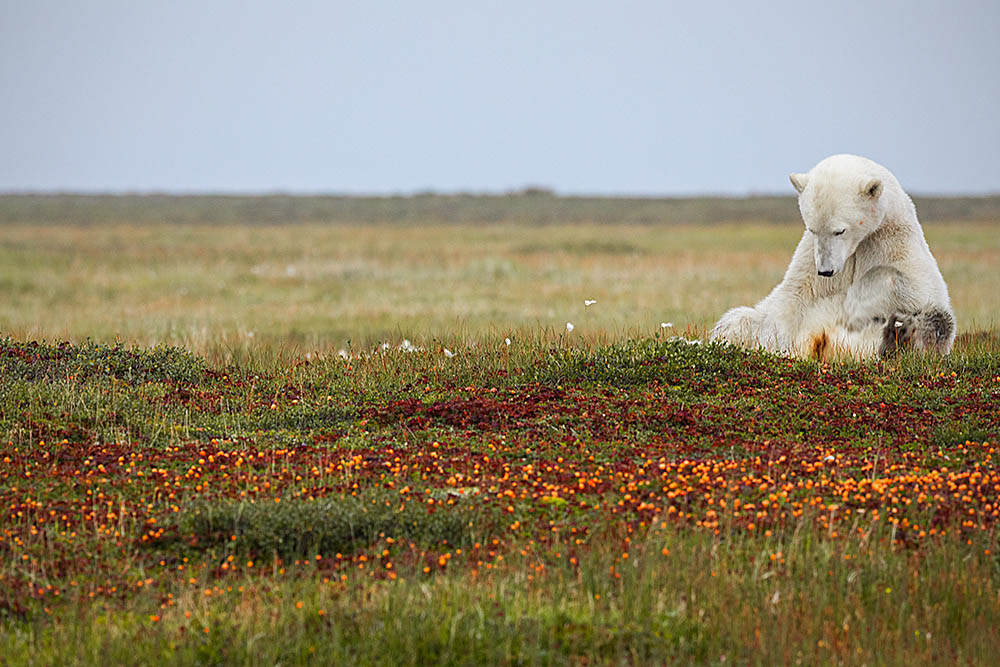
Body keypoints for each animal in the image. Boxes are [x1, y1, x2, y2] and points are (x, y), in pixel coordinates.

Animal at [712, 155, 952, 360]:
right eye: (812, 228)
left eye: (840, 230)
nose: (826, 271)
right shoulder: (810, 258)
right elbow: (793, 296)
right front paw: (777, 345)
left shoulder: (893, 239)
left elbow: (917, 284)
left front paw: (853, 306)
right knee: (737, 320)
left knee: (936, 322)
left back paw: (896, 338)